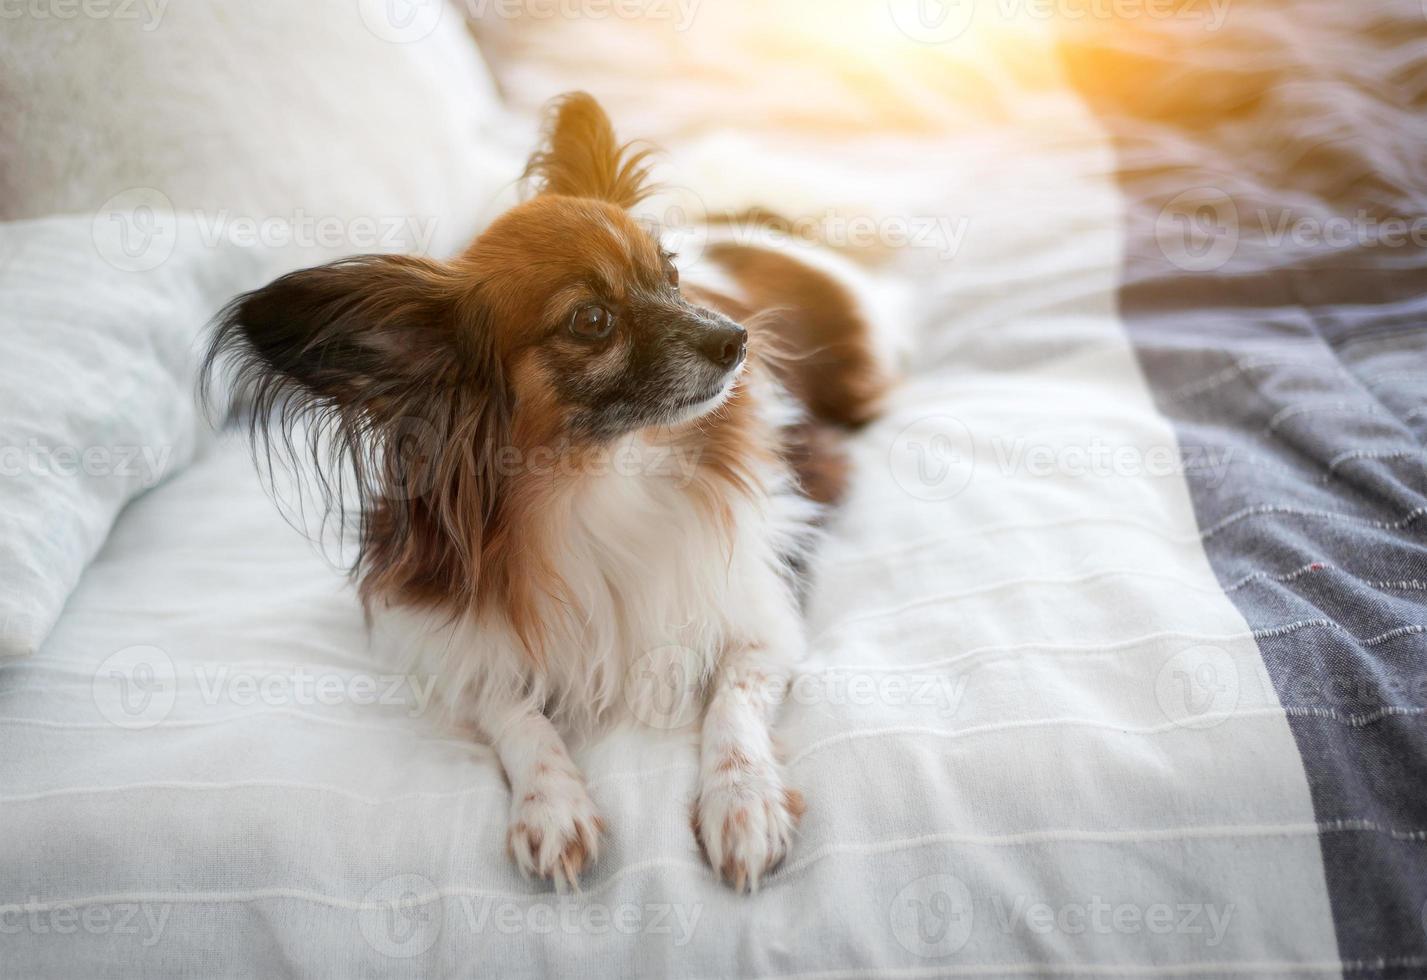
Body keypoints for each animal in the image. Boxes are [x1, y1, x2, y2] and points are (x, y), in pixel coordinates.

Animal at [204, 90, 890, 890]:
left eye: (672, 275)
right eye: (591, 320)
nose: (736, 339)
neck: (598, 475)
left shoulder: (763, 616)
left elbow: (732, 702)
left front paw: (743, 803)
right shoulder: (455, 640)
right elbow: (513, 710)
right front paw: (551, 805)